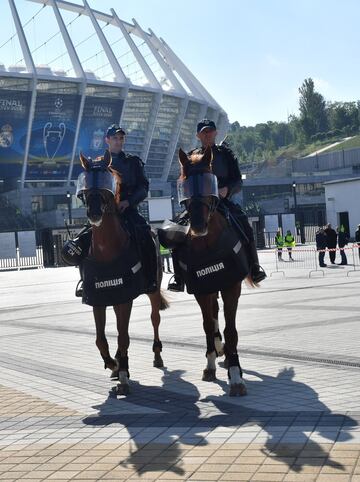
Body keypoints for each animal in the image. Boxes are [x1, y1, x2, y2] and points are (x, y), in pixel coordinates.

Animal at [77, 152, 169, 396]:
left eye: (106, 184)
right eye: (86, 187)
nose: (94, 213)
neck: (106, 249)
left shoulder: (125, 299)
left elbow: (124, 336)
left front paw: (124, 374)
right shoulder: (98, 299)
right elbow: (101, 339)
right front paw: (113, 364)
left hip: (152, 289)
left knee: (154, 318)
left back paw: (156, 354)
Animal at [176, 146, 250, 396]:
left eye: (210, 182)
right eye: (185, 185)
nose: (198, 226)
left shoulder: (231, 287)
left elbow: (231, 330)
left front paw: (236, 374)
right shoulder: (202, 289)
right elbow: (208, 326)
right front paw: (210, 364)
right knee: (214, 315)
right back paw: (218, 349)